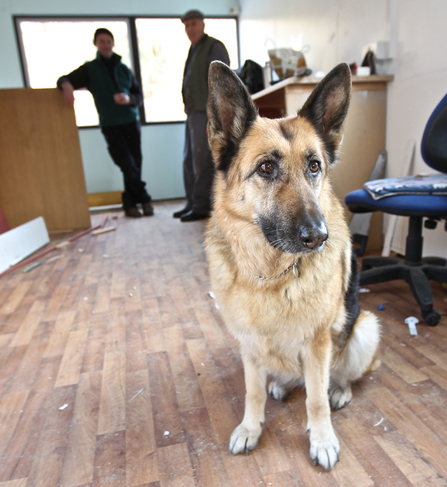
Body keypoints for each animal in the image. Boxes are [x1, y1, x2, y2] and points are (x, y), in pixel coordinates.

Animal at [206, 63, 382, 470]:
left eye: (314, 166)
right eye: (267, 167)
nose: (319, 236)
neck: (270, 275)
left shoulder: (317, 344)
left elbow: (315, 399)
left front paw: (322, 440)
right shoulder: (249, 344)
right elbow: (252, 392)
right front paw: (251, 428)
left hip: (365, 327)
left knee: (336, 377)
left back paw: (340, 390)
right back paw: (282, 383)